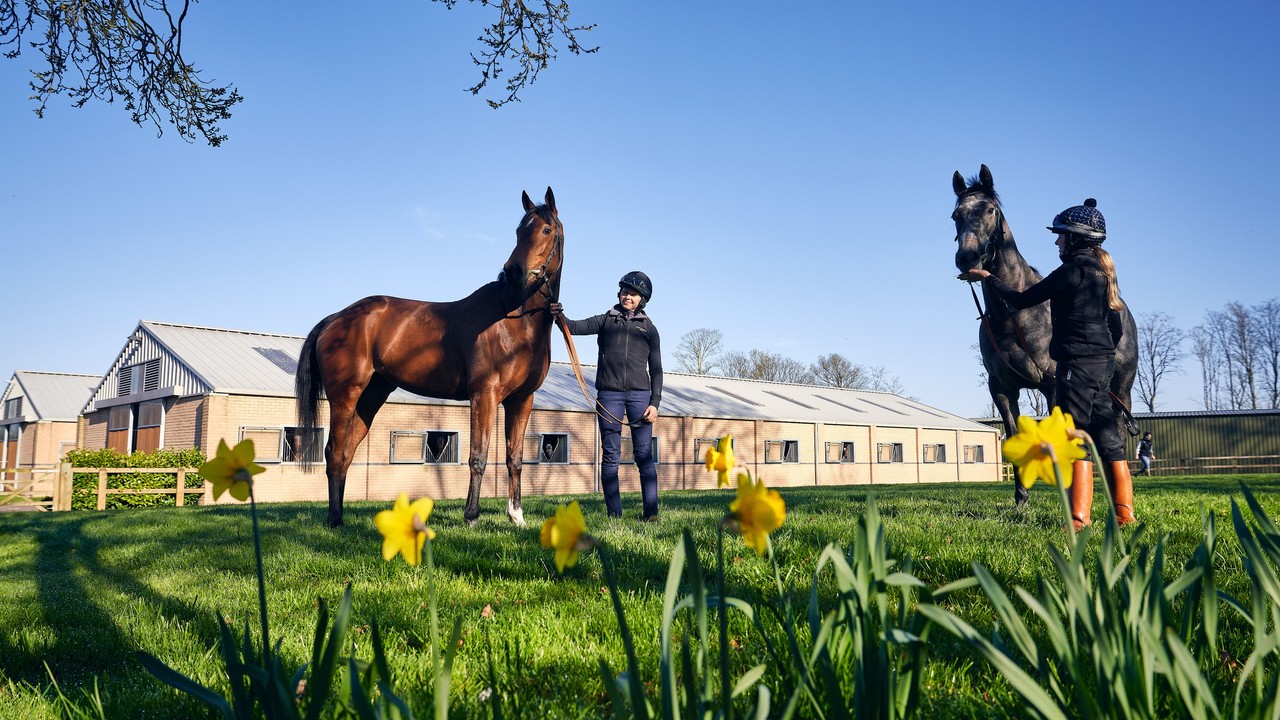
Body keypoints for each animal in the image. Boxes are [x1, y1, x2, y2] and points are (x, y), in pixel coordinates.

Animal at [298, 184, 565, 525]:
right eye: (519, 230)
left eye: (546, 229)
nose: (512, 272)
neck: (514, 318)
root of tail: (336, 318)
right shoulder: (485, 394)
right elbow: (478, 456)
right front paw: (471, 515)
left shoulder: (521, 400)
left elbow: (514, 458)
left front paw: (517, 517)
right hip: (345, 395)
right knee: (333, 452)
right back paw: (334, 521)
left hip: (371, 396)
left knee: (345, 454)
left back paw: (340, 517)